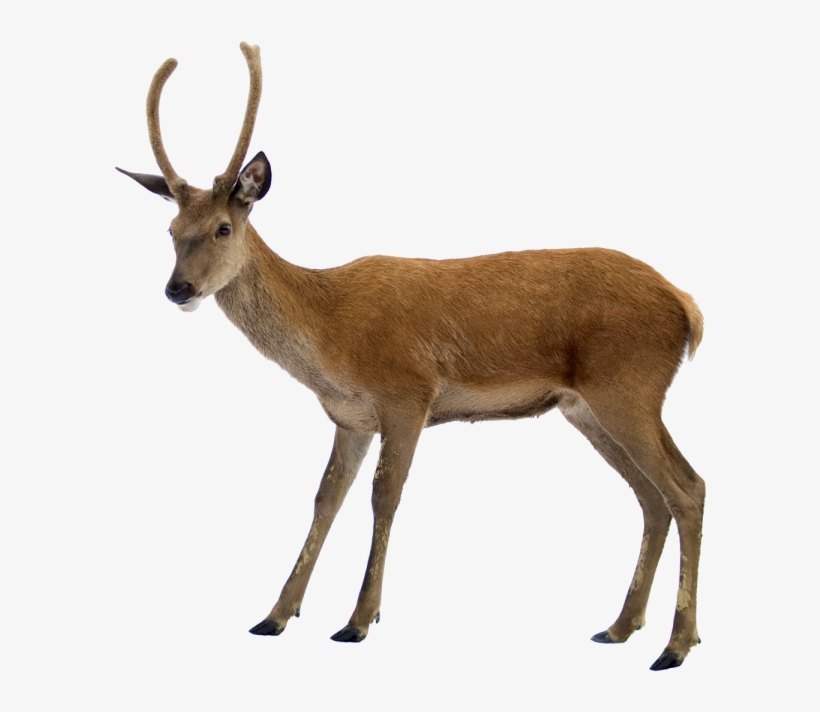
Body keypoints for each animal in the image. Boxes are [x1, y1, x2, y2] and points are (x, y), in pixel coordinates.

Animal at [118, 43, 706, 671]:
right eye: (171, 229)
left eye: (224, 227)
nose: (177, 289)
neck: (328, 337)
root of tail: (688, 307)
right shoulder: (350, 416)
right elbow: (325, 499)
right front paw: (275, 615)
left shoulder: (407, 394)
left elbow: (384, 496)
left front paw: (358, 621)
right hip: (585, 407)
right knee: (652, 496)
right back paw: (620, 627)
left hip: (629, 386)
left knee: (687, 488)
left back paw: (676, 644)